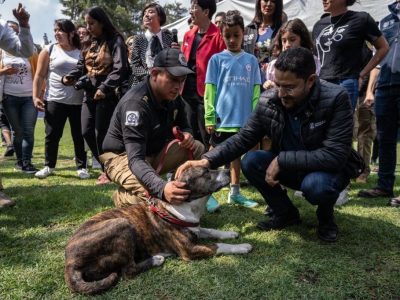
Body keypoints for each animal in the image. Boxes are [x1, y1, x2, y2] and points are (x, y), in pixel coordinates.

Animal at [65, 166, 253, 296]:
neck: (184, 206)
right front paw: (242, 247)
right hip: (121, 224)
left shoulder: (196, 229)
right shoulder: (189, 250)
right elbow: (219, 246)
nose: (228, 170)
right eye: (206, 172)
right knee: (128, 271)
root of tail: (69, 263)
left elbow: (212, 231)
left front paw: (231, 233)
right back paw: (156, 259)